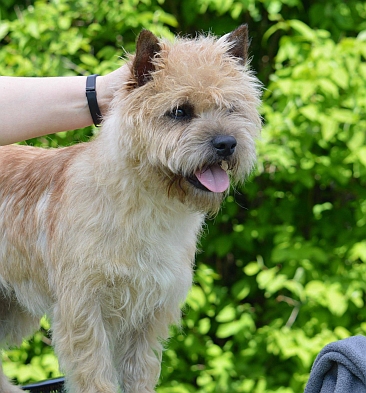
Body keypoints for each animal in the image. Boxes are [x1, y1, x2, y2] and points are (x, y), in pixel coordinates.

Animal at [0, 26, 262, 390]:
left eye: (231, 108)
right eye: (180, 111)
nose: (227, 143)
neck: (149, 204)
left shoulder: (148, 313)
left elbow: (139, 373)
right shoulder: (84, 311)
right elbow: (96, 377)